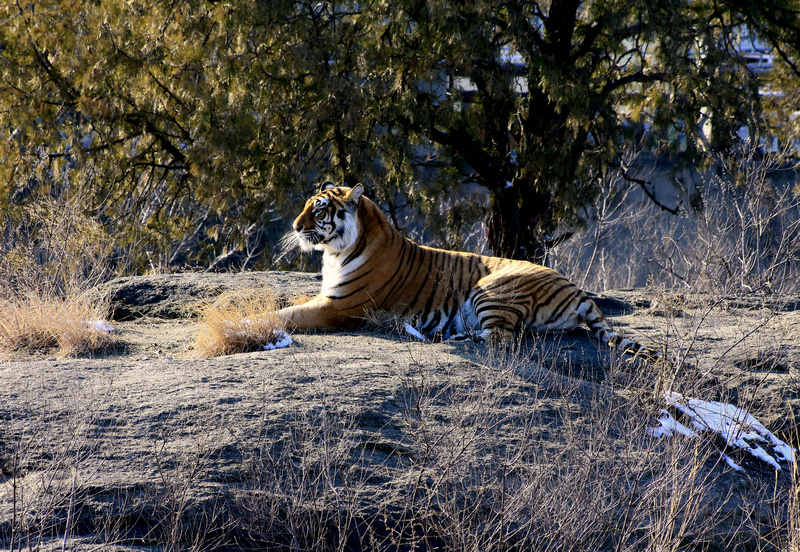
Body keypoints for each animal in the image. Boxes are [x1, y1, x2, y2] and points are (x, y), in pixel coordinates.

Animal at [282, 180, 668, 362]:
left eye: (318, 211)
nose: (295, 226)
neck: (336, 253)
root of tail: (578, 290)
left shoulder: (338, 306)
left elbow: (288, 315)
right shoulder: (326, 295)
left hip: (491, 289)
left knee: (502, 339)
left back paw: (443, 337)